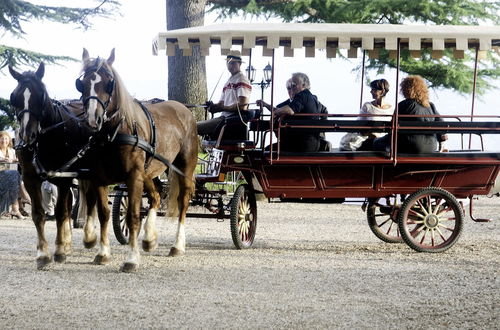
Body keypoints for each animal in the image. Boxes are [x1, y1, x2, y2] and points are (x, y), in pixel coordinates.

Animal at [76, 48, 197, 270]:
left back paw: (177, 245)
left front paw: (131, 259)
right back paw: (149, 238)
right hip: (148, 172)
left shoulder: (133, 177)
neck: (114, 133)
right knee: (156, 196)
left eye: (109, 82)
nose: (92, 120)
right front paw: (103, 253)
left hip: (184, 167)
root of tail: (183, 109)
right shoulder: (99, 178)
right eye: (82, 83)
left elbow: (132, 216)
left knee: (183, 201)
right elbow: (104, 213)